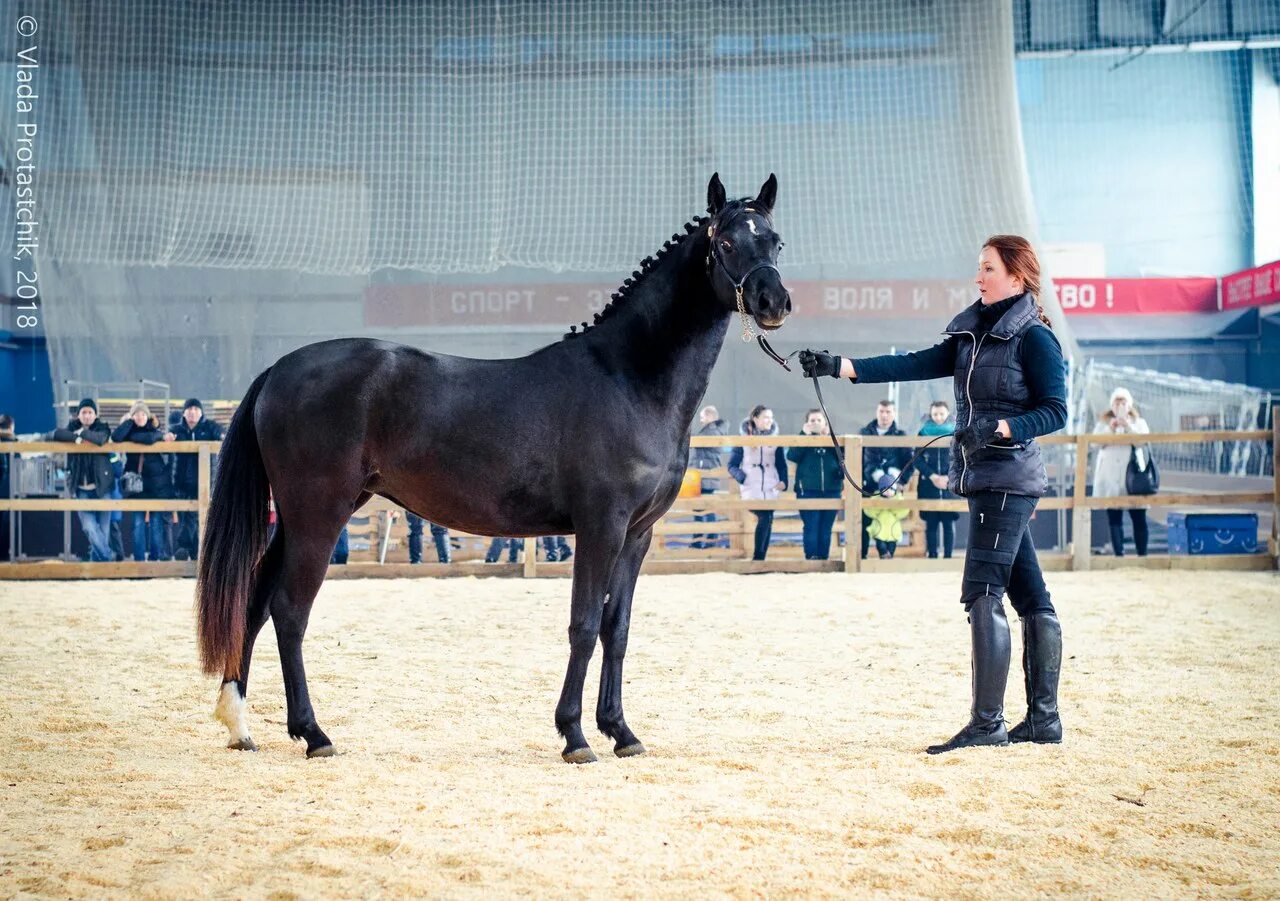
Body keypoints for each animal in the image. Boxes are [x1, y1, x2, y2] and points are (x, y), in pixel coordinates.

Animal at [197, 174, 788, 757]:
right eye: (726, 242)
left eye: (776, 242)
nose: (774, 301)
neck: (629, 378)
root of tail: (279, 368)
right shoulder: (601, 526)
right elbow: (583, 625)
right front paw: (575, 735)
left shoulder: (636, 534)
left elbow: (616, 630)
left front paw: (621, 731)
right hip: (318, 515)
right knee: (289, 610)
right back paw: (313, 733)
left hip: (298, 518)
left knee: (255, 600)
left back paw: (240, 725)